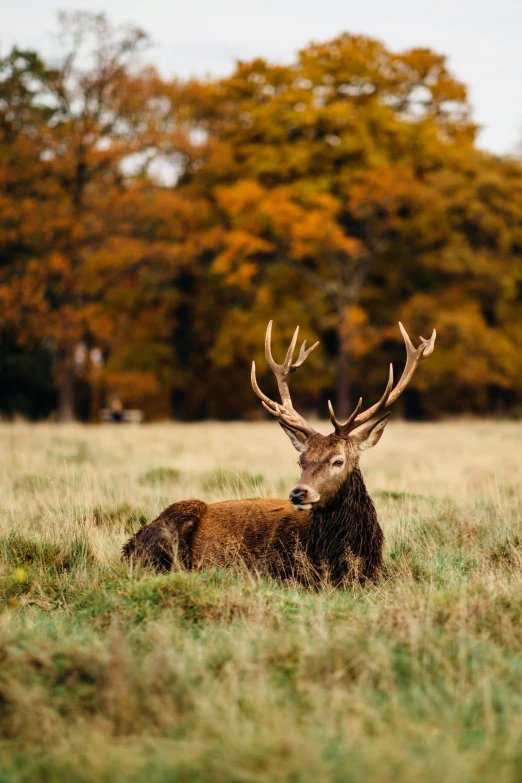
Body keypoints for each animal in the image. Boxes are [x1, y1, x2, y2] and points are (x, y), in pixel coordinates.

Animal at [123, 322, 434, 584]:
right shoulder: (271, 569)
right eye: (301, 460)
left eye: (338, 460)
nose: (298, 493)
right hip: (175, 520)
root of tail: (128, 546)